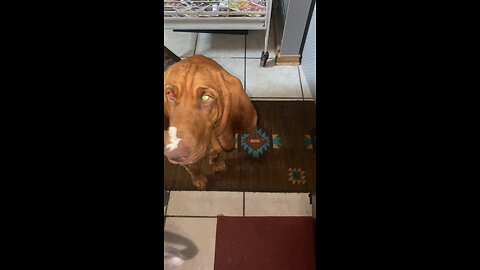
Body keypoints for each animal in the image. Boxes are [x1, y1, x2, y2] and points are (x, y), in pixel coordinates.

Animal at [163, 54, 256, 190]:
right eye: (170, 94)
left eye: (206, 97)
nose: (175, 154)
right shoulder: (189, 163)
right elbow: (193, 168)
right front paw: (198, 179)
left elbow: (215, 155)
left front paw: (217, 164)